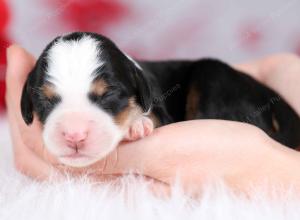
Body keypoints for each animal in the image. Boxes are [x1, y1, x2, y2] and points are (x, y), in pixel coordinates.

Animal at [21, 31, 300, 168]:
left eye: (108, 95)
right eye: (45, 101)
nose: (74, 136)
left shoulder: (160, 109)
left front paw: (135, 124)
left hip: (215, 77)